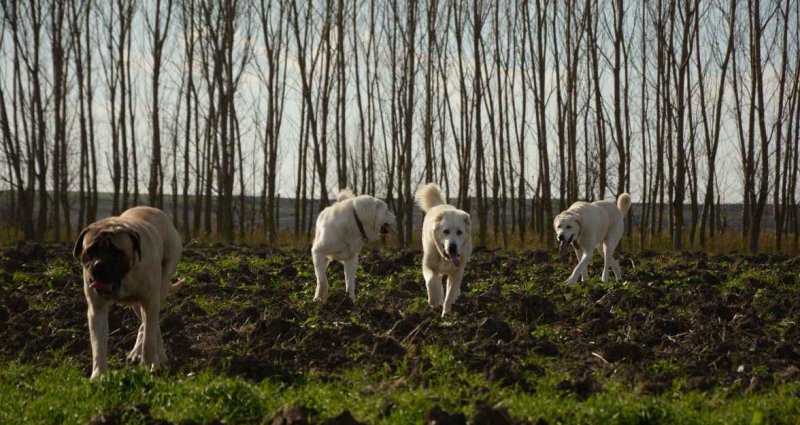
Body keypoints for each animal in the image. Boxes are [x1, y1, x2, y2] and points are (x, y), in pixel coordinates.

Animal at [416, 184, 472, 316]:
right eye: (446, 231)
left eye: (459, 232)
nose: (452, 246)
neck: (445, 258)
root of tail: (440, 205)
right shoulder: (428, 266)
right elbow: (432, 281)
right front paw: (435, 299)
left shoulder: (457, 272)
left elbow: (450, 293)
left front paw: (446, 313)